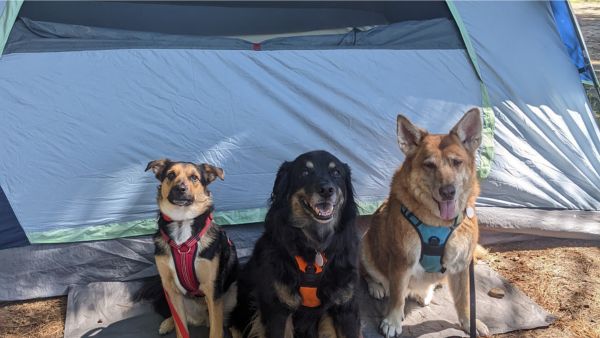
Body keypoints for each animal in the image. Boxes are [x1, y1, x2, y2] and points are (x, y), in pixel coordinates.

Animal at [143, 159, 239, 338]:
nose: (180, 189)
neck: (182, 222)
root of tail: (202, 319)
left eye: (194, 177)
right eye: (170, 175)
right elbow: (181, 328)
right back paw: (167, 323)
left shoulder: (212, 289)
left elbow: (216, 331)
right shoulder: (171, 288)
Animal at [230, 151, 360, 338]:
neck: (316, 247)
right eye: (305, 172)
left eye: (336, 173)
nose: (326, 190)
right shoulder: (278, 310)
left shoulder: (345, 308)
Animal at [358, 109, 490, 336]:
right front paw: (392, 321)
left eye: (456, 162)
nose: (448, 192)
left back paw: (424, 293)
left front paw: (469, 322)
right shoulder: (402, 261)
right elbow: (396, 297)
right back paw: (377, 287)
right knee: (371, 275)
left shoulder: (462, 265)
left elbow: (464, 299)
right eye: (429, 165)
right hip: (366, 246)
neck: (438, 223)